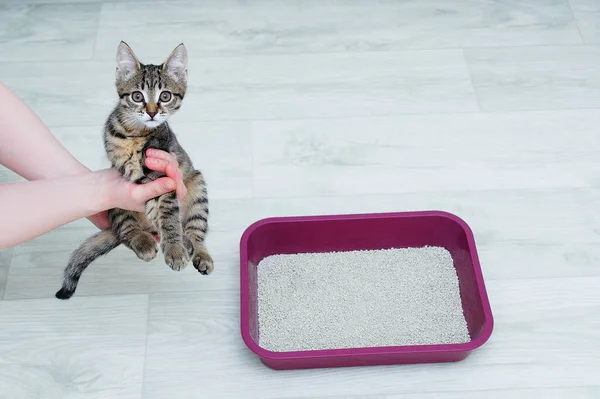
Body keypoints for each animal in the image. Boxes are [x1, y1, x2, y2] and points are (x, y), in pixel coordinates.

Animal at [54, 43, 213, 300]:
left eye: (165, 96)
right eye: (137, 96)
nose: (152, 112)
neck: (134, 134)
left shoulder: (163, 173)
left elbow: (168, 215)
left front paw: (175, 246)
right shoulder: (124, 171)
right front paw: (174, 244)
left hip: (197, 185)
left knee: (195, 230)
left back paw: (198, 251)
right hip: (115, 203)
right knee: (126, 229)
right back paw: (143, 240)